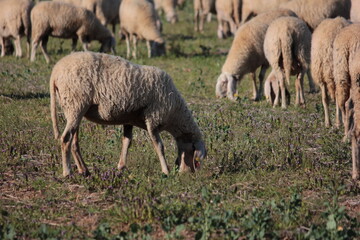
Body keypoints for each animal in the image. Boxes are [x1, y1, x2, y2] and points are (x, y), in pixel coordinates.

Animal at [49, 52, 207, 176]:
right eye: (194, 153)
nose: (188, 174)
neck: (175, 113)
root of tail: (55, 72)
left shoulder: (129, 119)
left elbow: (127, 141)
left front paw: (121, 166)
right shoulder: (153, 118)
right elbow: (159, 146)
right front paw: (166, 170)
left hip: (74, 109)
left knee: (74, 141)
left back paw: (84, 170)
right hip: (76, 103)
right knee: (66, 139)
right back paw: (68, 172)